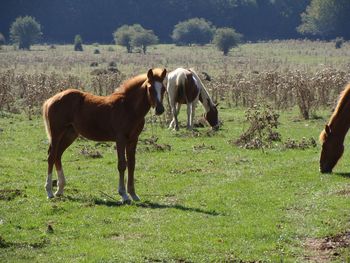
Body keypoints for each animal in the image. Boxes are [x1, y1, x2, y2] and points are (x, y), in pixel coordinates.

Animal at [42, 68, 167, 204]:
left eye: (163, 88)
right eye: (150, 88)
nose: (160, 109)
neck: (128, 107)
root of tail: (50, 100)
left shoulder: (133, 140)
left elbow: (132, 164)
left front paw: (133, 194)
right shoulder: (120, 139)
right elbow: (122, 164)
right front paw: (124, 195)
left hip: (70, 134)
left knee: (58, 155)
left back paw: (59, 190)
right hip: (56, 133)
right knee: (51, 156)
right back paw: (49, 191)